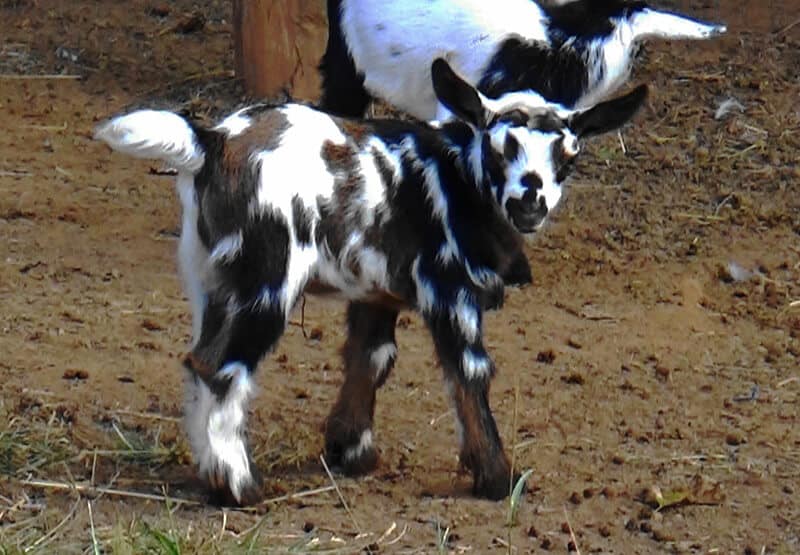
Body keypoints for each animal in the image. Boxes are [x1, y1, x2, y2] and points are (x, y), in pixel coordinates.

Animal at [95, 58, 644, 506]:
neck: (457, 178)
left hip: (210, 277)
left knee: (196, 359)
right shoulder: (449, 290)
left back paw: (211, 474)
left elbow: (371, 358)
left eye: (569, 158)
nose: (530, 204)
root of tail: (213, 142)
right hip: (266, 281)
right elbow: (469, 372)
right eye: (497, 149)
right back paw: (238, 487)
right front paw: (496, 478)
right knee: (221, 368)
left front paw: (350, 450)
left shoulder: (377, 293)